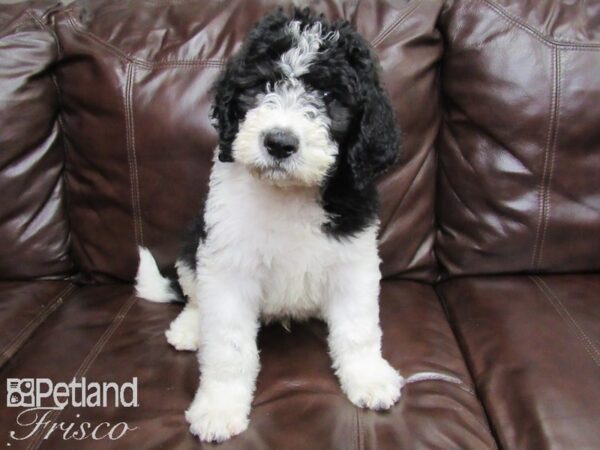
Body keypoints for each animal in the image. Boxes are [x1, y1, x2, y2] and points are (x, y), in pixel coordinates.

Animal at [137, 7, 404, 442]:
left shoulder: (354, 260)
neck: (288, 194)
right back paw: (190, 328)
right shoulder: (227, 265)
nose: (279, 143)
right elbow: (227, 347)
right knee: (193, 294)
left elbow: (358, 329)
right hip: (194, 242)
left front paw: (368, 377)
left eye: (329, 97)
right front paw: (219, 406)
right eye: (263, 85)